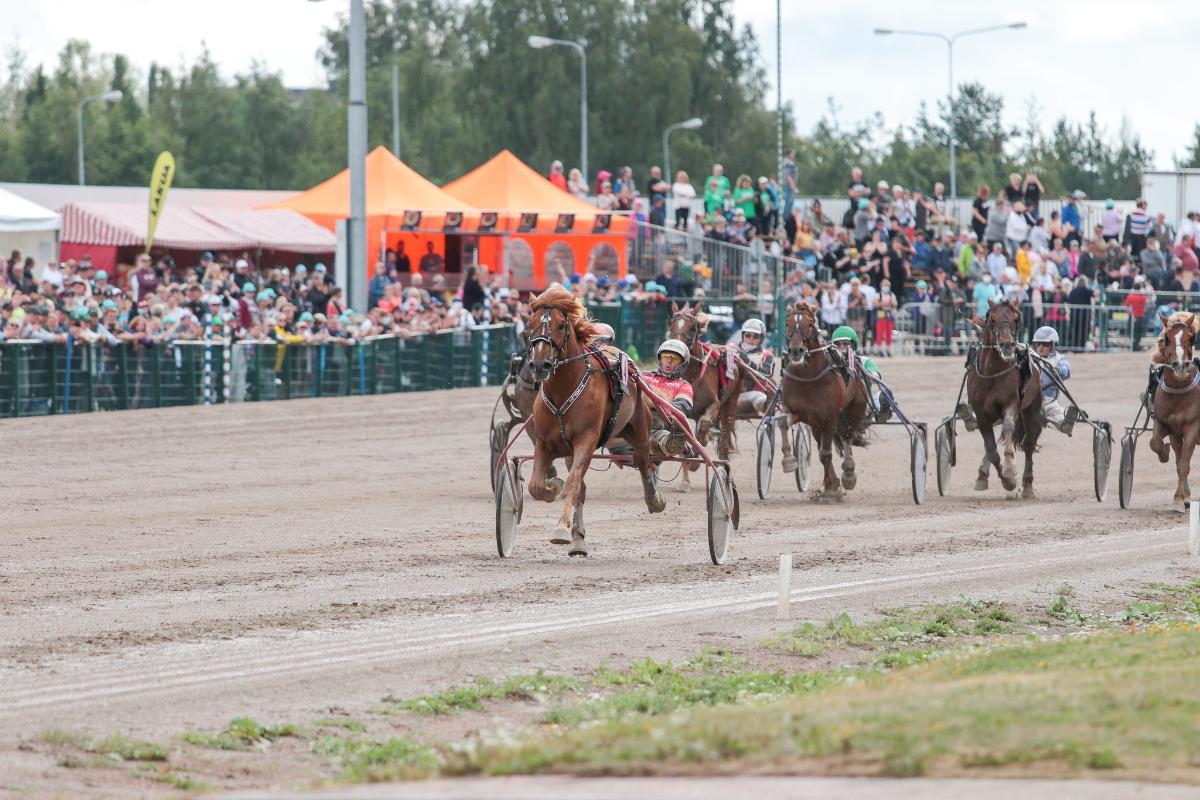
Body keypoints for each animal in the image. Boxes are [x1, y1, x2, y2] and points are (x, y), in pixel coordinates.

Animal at [530, 287, 672, 556]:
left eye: (561, 325)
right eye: (529, 324)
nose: (540, 364)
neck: (565, 389)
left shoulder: (586, 441)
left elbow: (572, 484)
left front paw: (561, 529)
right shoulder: (544, 444)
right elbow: (536, 486)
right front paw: (552, 487)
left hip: (639, 428)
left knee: (644, 461)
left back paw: (655, 499)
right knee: (583, 489)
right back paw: (578, 539)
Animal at [777, 303, 864, 496]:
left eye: (810, 324)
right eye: (786, 323)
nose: (796, 351)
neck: (808, 377)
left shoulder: (830, 417)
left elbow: (826, 454)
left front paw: (831, 490)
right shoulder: (796, 410)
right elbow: (782, 422)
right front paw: (788, 460)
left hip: (855, 408)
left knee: (847, 436)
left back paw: (848, 473)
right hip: (816, 423)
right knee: (822, 444)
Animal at [964, 298, 1041, 496]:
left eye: (1015, 319)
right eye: (992, 319)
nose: (1007, 345)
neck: (993, 372)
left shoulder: (1011, 404)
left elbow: (1008, 429)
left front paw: (1011, 472)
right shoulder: (981, 414)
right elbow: (991, 450)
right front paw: (1006, 481)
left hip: (1031, 409)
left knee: (1029, 443)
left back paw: (1028, 485)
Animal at [1142, 309, 1200, 503]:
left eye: (1191, 337)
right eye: (1166, 337)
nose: (1180, 365)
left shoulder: (1192, 427)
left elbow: (1184, 465)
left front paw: (1184, 498)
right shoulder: (1168, 426)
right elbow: (1156, 444)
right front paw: (1180, 496)